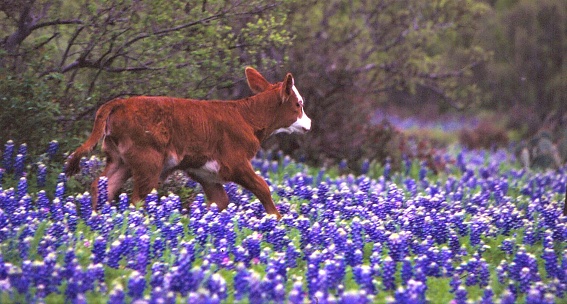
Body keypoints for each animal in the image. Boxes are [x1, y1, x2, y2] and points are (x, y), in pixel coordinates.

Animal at [66, 66, 310, 218]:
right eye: (298, 104)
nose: (308, 123)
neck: (247, 117)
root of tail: (120, 103)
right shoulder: (236, 163)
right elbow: (263, 188)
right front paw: (277, 219)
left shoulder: (206, 173)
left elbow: (220, 202)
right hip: (148, 162)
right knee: (137, 198)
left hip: (120, 160)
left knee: (103, 185)